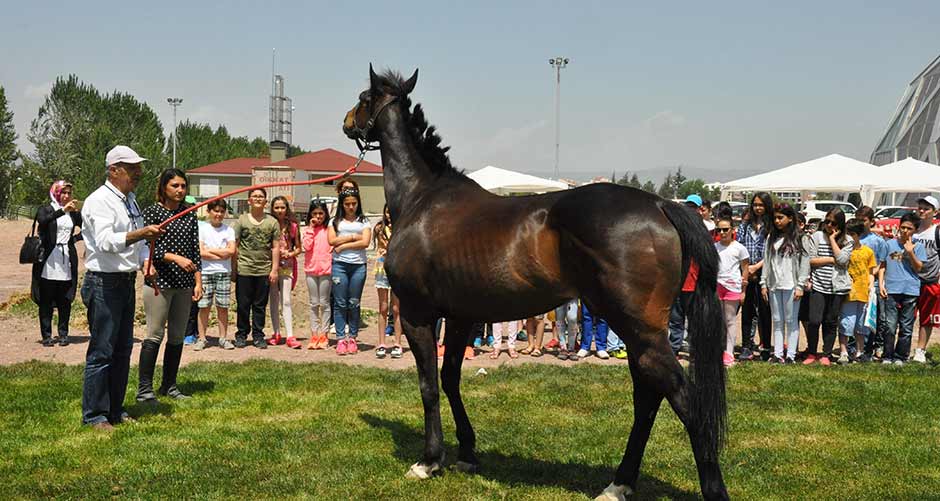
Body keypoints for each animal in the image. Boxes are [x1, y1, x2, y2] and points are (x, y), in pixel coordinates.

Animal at [344, 67, 728, 500]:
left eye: (363, 98)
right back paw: (619, 483)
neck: (423, 199)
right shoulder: (460, 317)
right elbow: (450, 378)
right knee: (647, 398)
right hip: (638, 335)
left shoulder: (416, 314)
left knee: (683, 401)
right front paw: (467, 453)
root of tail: (662, 204)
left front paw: (429, 460)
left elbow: (428, 385)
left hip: (640, 331)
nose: (347, 121)